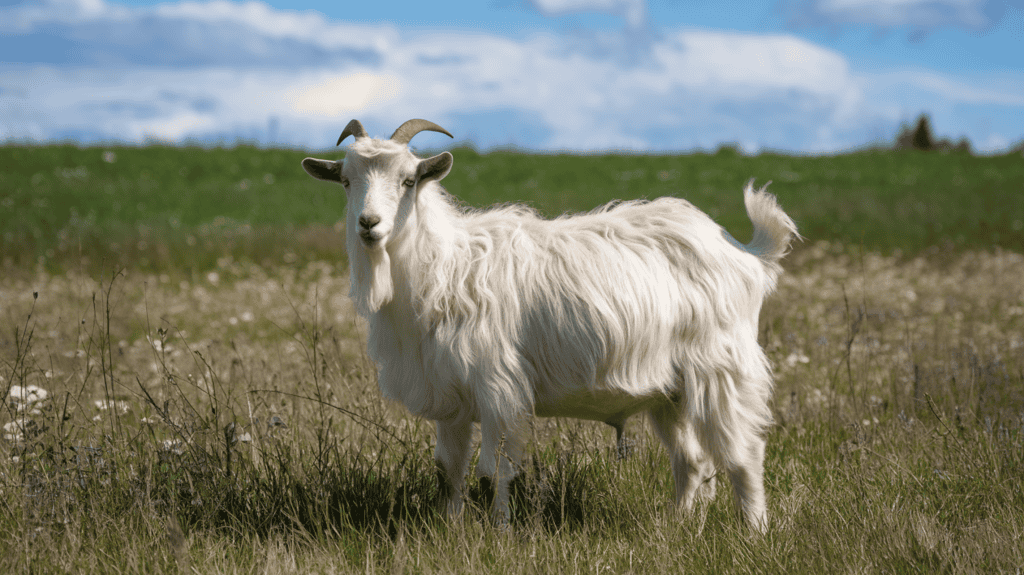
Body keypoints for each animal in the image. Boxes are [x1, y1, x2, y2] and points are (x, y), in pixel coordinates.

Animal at [301, 119, 798, 532]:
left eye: (408, 181)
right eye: (346, 181)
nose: (369, 224)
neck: (441, 267)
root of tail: (745, 254)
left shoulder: (498, 387)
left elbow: (493, 471)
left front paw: (498, 535)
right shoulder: (449, 394)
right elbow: (449, 471)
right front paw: (449, 530)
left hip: (722, 370)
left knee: (743, 455)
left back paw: (755, 533)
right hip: (669, 391)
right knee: (691, 462)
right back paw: (675, 528)